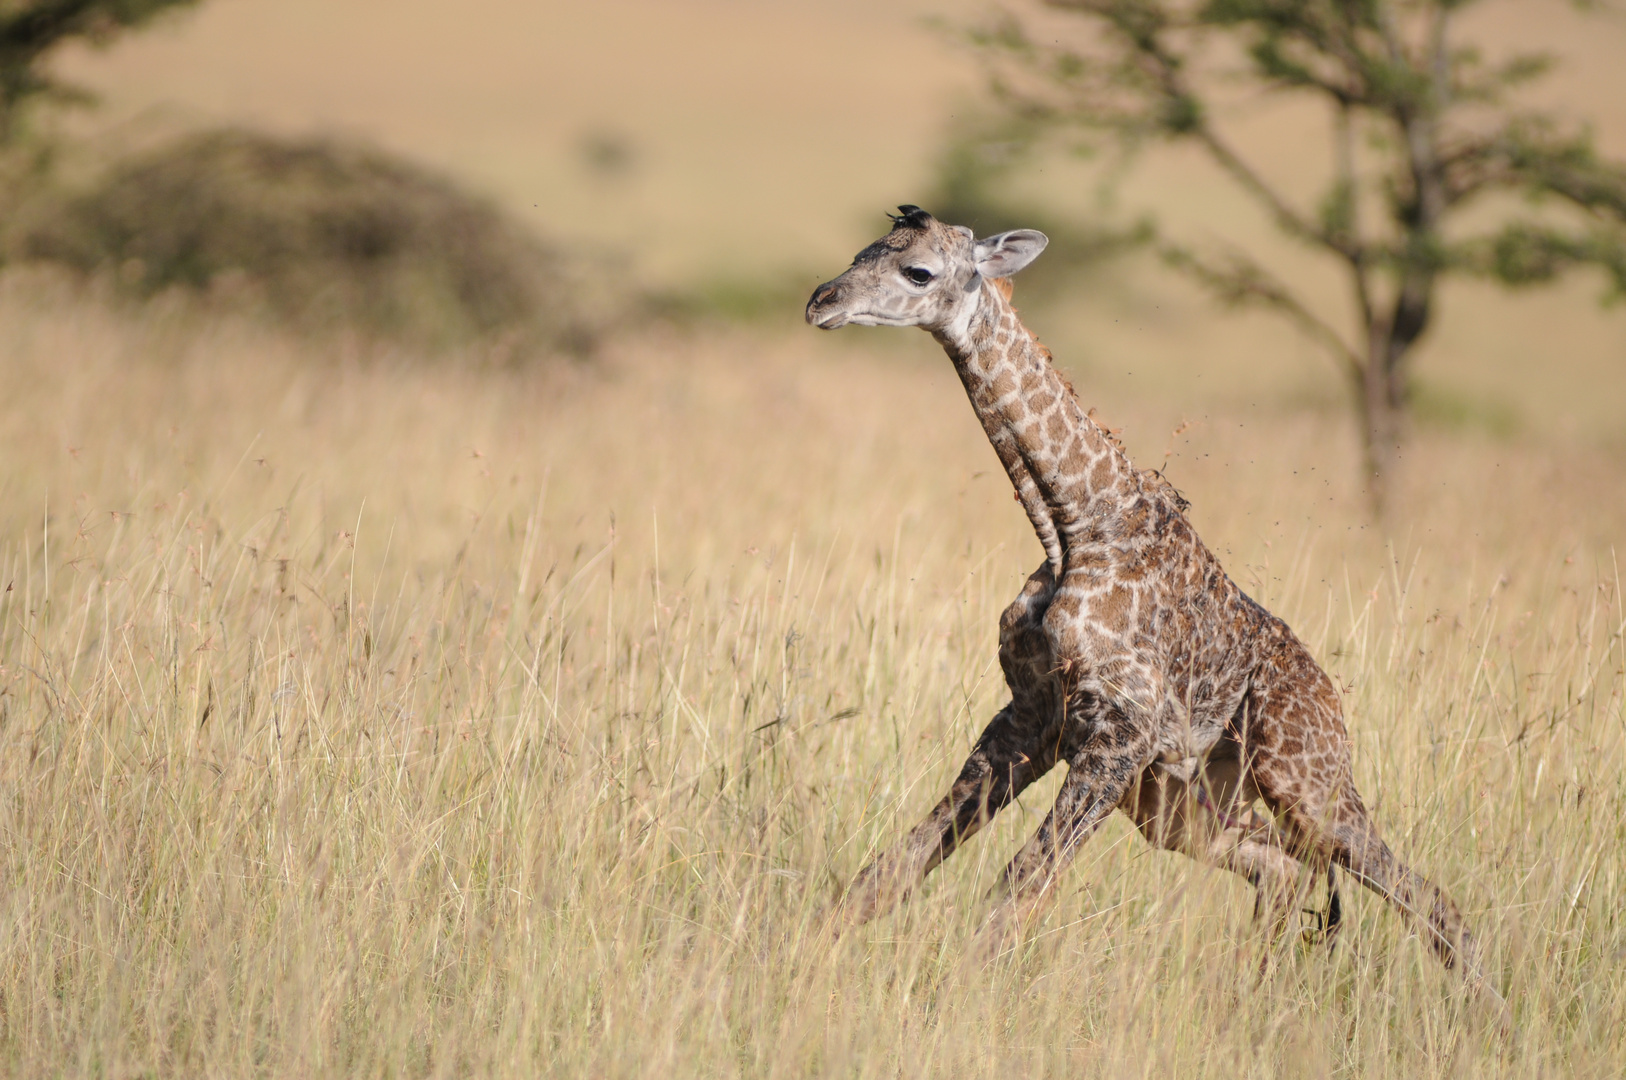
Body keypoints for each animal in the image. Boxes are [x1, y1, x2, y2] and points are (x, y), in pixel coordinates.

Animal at [806, 206, 1502, 1027]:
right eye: (862, 252)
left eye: (918, 272)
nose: (822, 301)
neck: (1073, 521)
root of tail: (1334, 704)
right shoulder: (1031, 716)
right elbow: (901, 863)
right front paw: (802, 965)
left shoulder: (1118, 734)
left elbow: (1020, 882)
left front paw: (952, 1005)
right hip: (1176, 804)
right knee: (1287, 875)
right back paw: (1249, 1000)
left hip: (1302, 781)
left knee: (1424, 896)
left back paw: (1493, 1022)